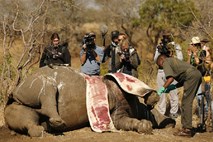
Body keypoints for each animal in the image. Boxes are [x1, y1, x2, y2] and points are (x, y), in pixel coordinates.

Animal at [4, 66, 176, 137]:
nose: (173, 123)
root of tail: (14, 92)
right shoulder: (123, 88)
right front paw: (146, 125)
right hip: (32, 83)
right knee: (47, 84)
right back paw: (56, 123)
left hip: (15, 104)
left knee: (25, 117)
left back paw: (46, 129)